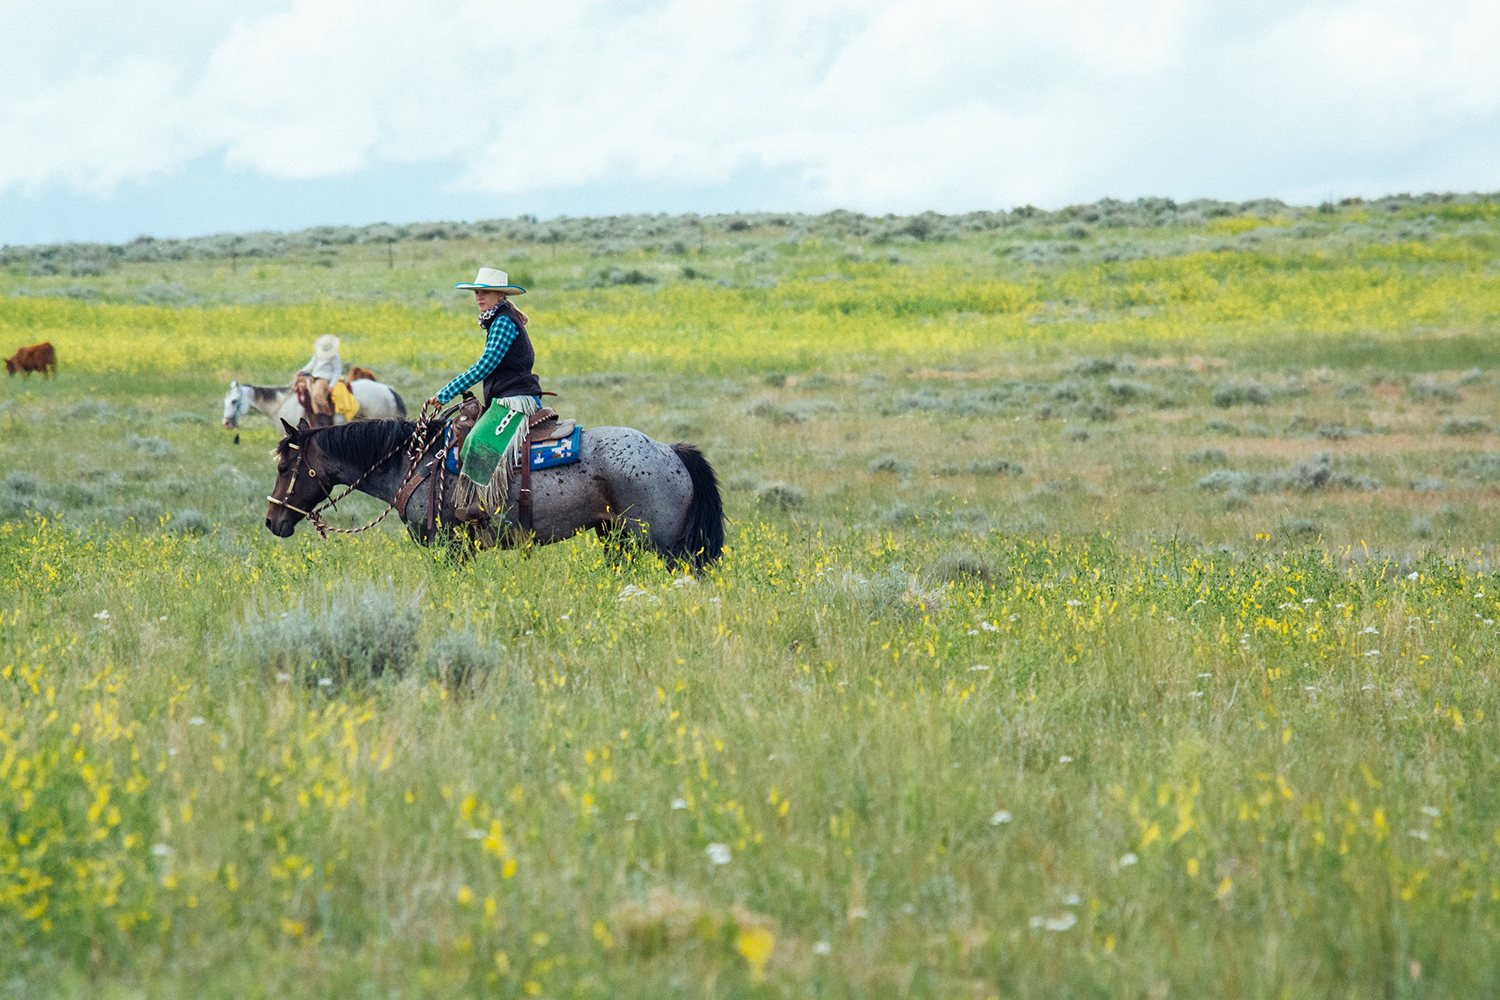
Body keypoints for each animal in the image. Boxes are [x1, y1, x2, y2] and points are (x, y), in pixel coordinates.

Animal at [265, 416, 726, 569]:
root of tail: (670, 450)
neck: (416, 463)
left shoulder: (449, 544)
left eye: (285, 467)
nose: (272, 522)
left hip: (667, 546)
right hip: (617, 537)